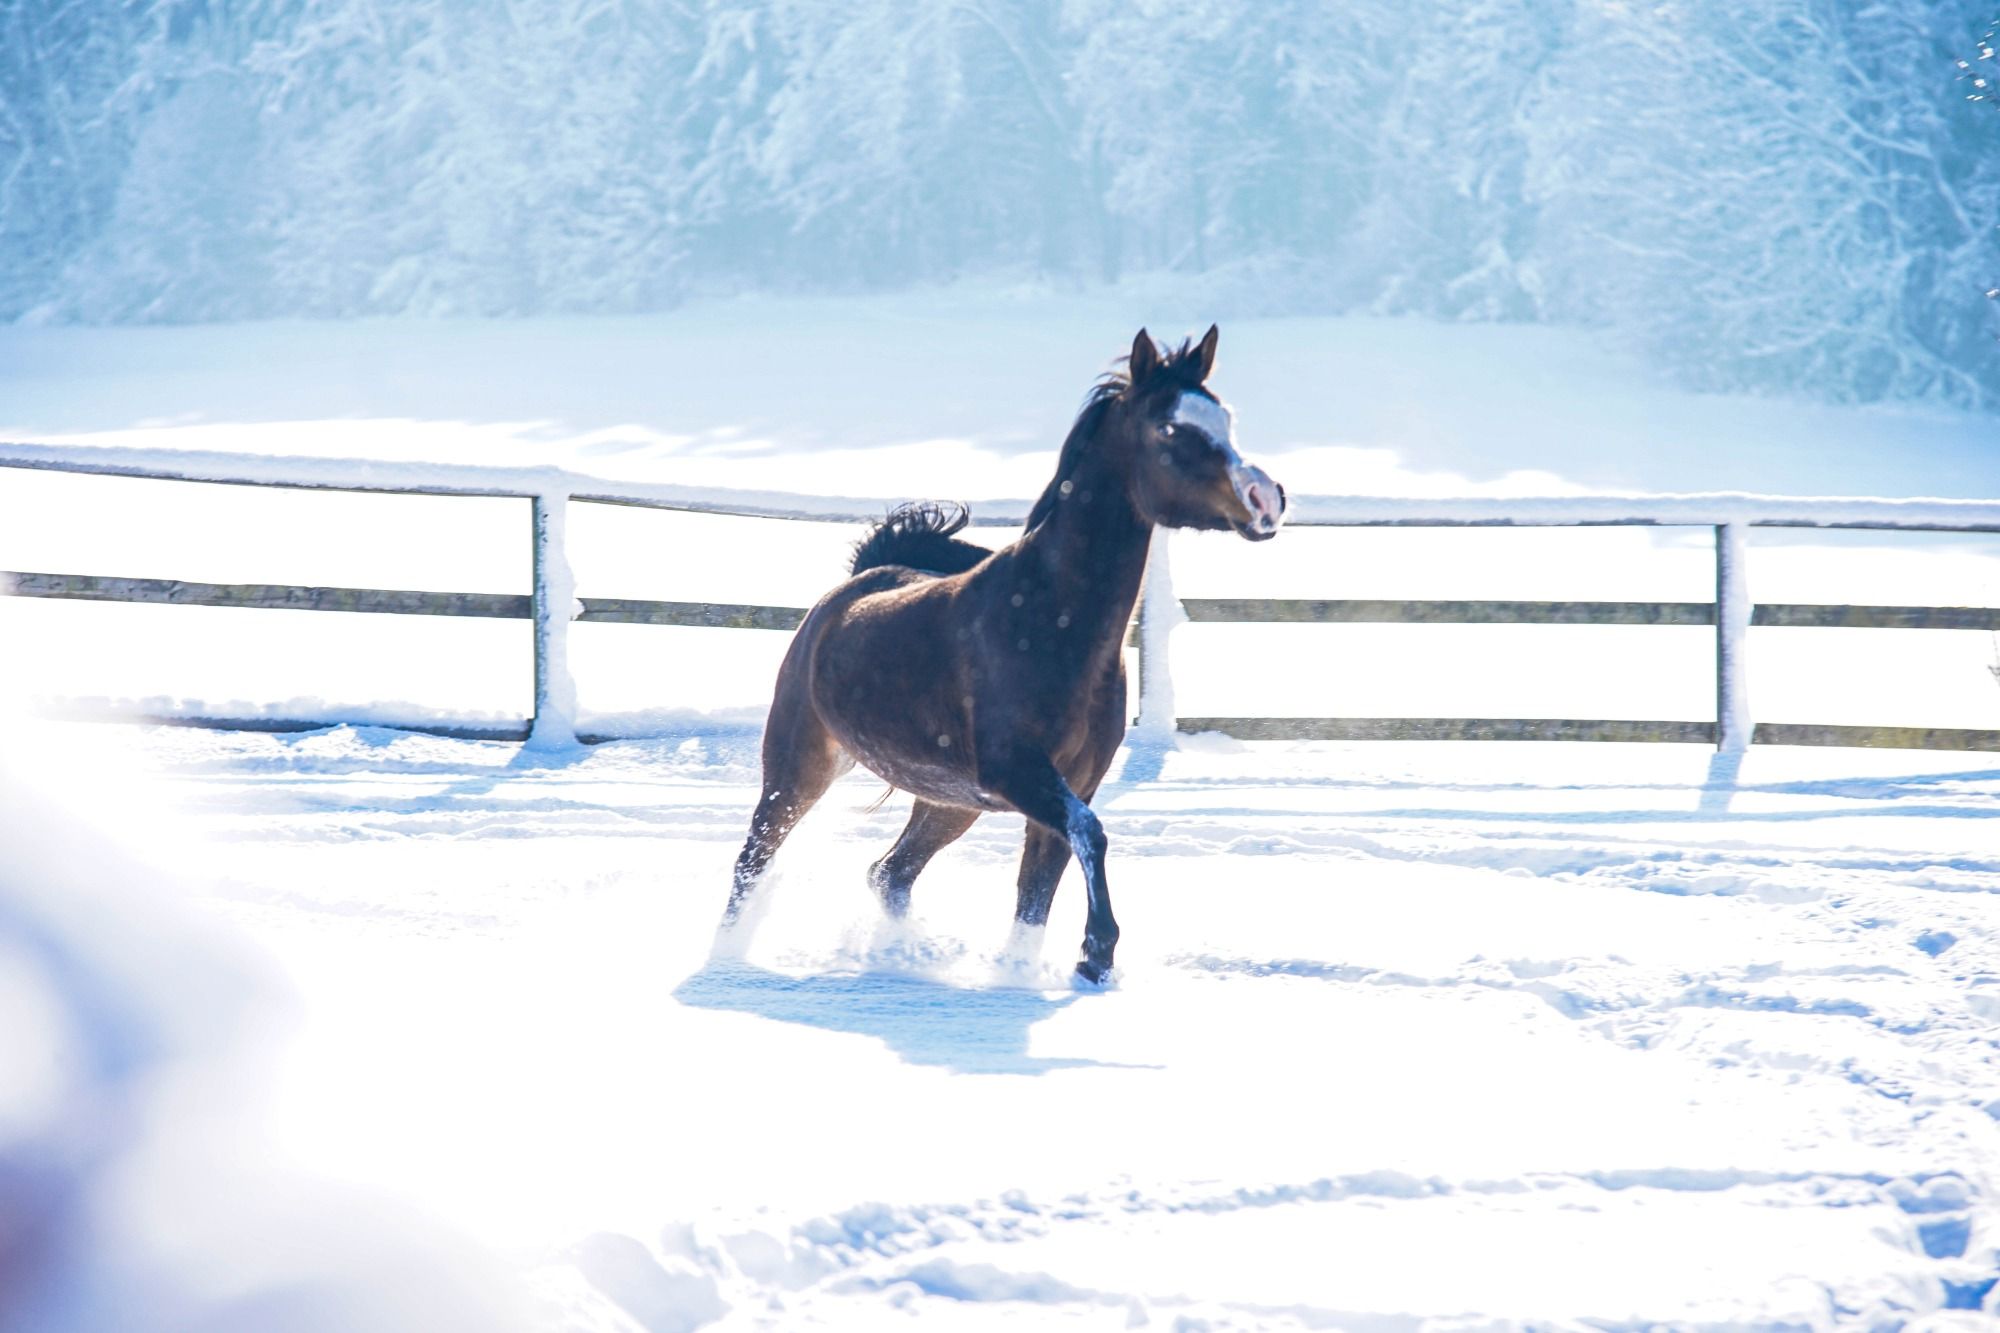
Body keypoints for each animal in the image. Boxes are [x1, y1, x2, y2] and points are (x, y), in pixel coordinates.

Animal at [722, 326, 1286, 981]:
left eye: (1226, 418)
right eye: (1170, 428)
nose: (1266, 498)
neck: (1050, 623)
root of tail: (851, 588)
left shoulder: (1074, 781)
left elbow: (1037, 895)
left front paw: (1038, 971)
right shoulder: (1021, 771)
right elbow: (1090, 835)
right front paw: (1096, 951)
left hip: (946, 802)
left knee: (889, 873)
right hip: (799, 768)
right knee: (753, 864)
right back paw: (726, 957)